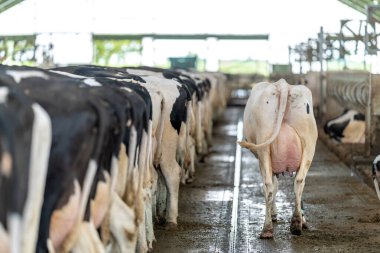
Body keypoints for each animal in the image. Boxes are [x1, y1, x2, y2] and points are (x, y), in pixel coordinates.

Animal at [240, 79, 318, 239]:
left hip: (264, 148)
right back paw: (297, 224)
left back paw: (267, 229)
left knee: (268, 186)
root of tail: (284, 85)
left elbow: (273, 185)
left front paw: (274, 214)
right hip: (309, 144)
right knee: (299, 182)